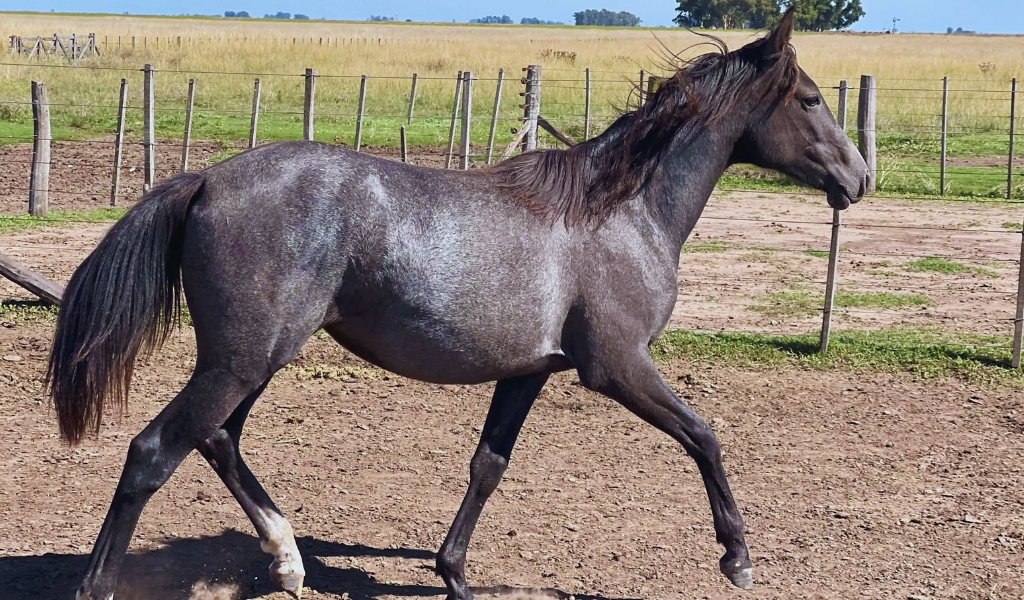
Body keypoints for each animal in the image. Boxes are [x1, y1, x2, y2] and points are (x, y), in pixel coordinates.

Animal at [48, 9, 864, 597]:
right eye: (811, 99)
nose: (858, 178)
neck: (623, 212)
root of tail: (207, 179)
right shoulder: (618, 365)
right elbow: (704, 436)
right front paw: (737, 558)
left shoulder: (529, 370)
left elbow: (488, 465)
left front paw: (454, 573)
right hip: (244, 358)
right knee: (156, 451)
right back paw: (108, 583)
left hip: (255, 358)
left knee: (218, 440)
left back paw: (288, 561)